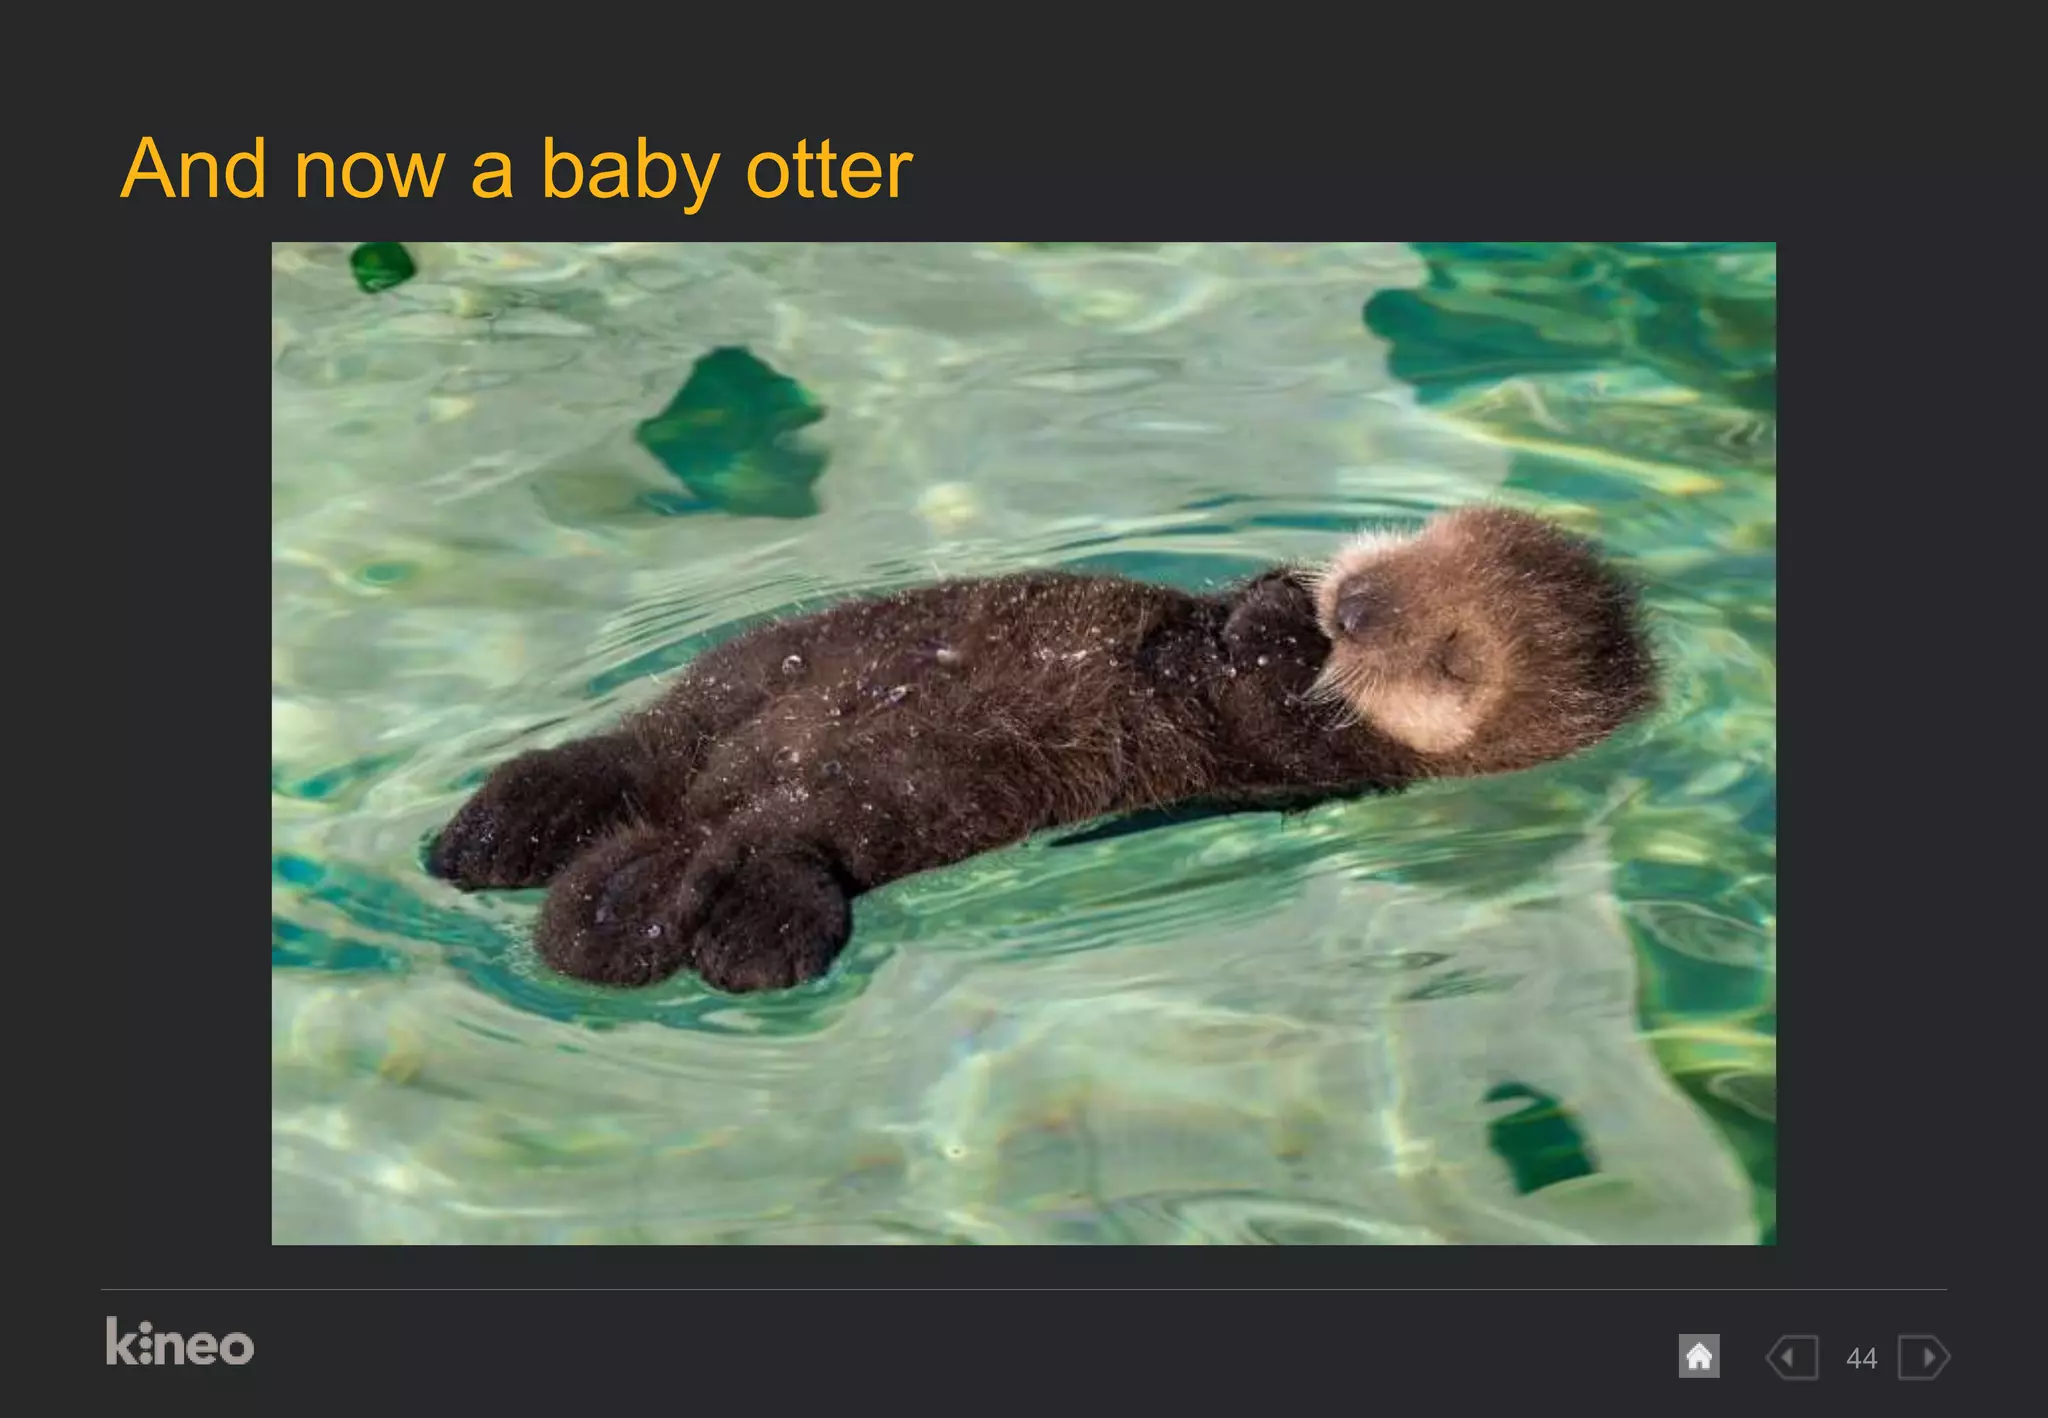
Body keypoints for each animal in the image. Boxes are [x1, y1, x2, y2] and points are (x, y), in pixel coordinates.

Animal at [426, 505, 1658, 993]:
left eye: (1445, 653)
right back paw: (488, 831)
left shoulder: (1310, 759)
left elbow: (1263, 706)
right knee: (632, 758)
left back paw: (727, 937)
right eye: (1415, 544)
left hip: (847, 811)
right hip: (736, 688)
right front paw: (1263, 598)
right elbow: (1214, 628)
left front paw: (1269, 630)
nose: (1348, 602)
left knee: (764, 852)